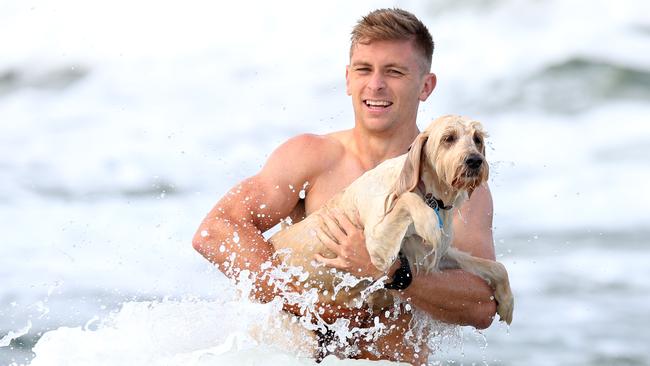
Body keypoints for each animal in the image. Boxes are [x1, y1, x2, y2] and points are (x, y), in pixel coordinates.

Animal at [268, 113, 512, 324]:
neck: (431, 195)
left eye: (477, 139)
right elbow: (407, 199)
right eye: (448, 138)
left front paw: (507, 302)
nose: (475, 161)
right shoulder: (377, 246)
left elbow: (494, 266)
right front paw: (428, 222)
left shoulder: (429, 255)